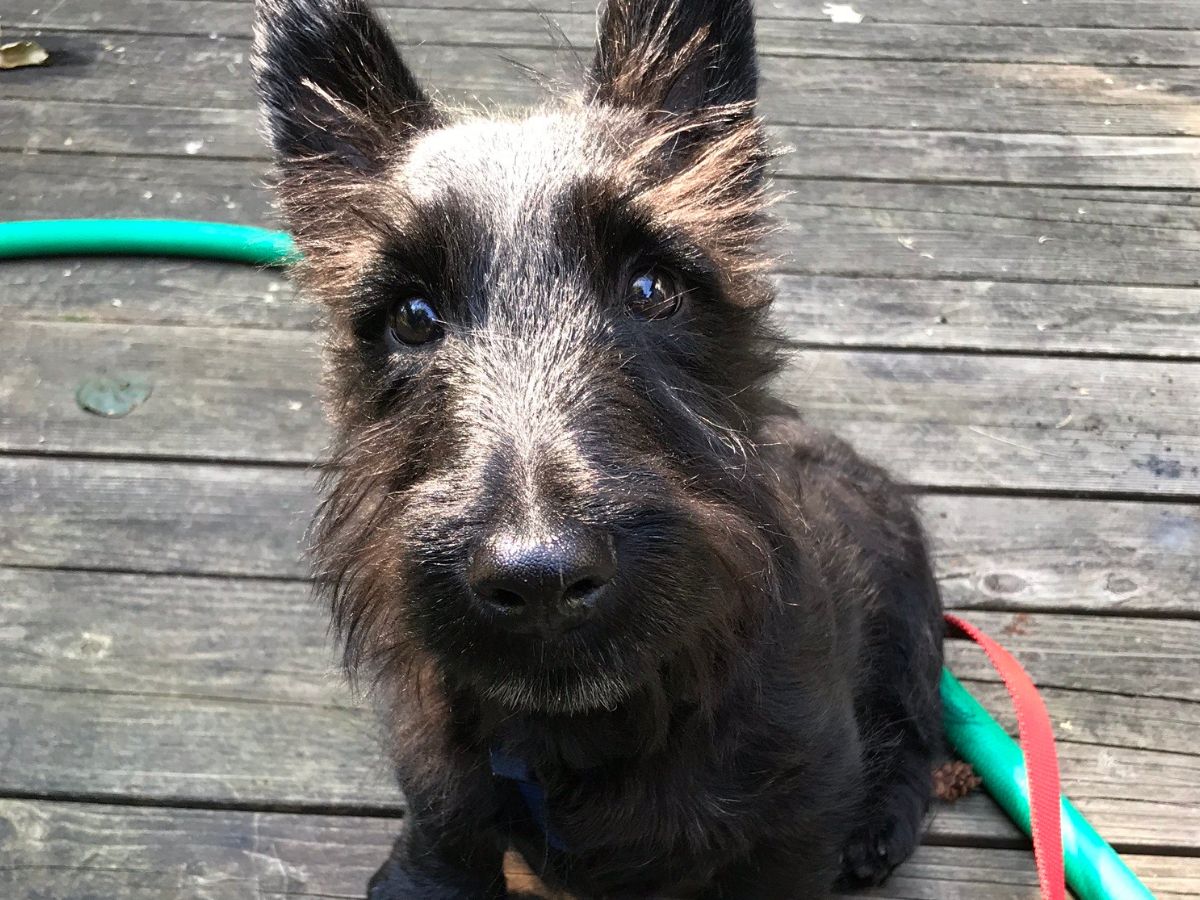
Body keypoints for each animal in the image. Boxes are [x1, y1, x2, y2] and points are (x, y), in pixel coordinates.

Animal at [255, 1, 945, 897]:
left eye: (652, 287)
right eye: (411, 315)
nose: (540, 579)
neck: (582, 738)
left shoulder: (794, 819)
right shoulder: (443, 819)